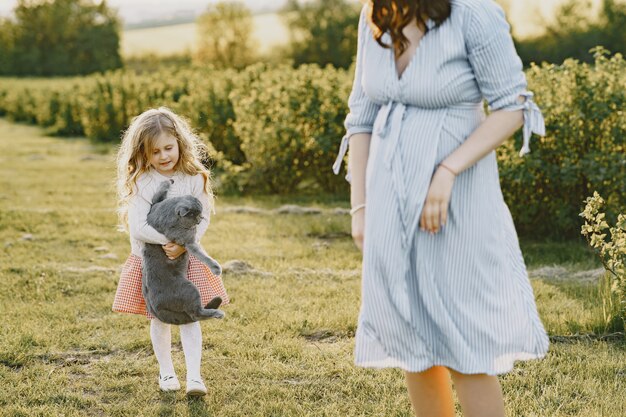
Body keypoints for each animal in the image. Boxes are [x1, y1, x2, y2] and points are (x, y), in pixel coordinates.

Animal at [143, 177, 225, 324]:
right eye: (195, 215)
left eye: (200, 214)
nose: (200, 220)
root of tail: (156, 308)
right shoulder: (188, 241)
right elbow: (202, 254)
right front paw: (216, 268)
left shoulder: (154, 205)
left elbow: (159, 192)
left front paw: (169, 181)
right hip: (189, 289)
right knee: (195, 314)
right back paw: (218, 313)